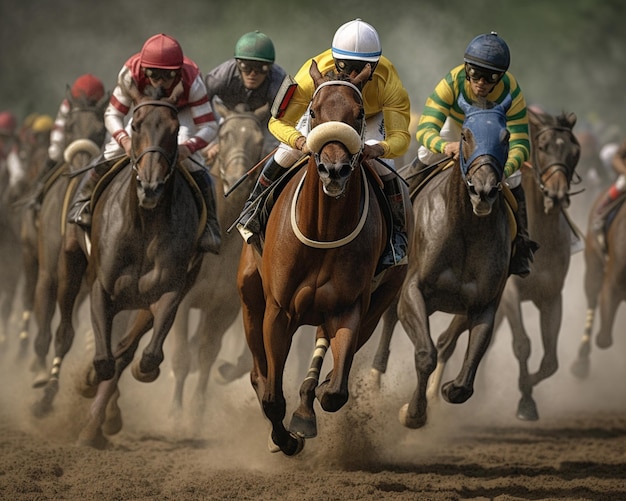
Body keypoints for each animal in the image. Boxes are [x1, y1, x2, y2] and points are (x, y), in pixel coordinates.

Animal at [75, 84, 202, 448]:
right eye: (135, 125)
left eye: (175, 129)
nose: (150, 187)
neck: (144, 225)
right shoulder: (100, 288)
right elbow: (103, 359)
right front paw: (87, 379)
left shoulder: (169, 292)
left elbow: (143, 355)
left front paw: (141, 371)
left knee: (127, 349)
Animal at [236, 60, 408, 456]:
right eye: (313, 111)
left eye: (358, 114)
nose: (334, 169)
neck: (323, 231)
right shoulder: (278, 311)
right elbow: (272, 397)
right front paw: (285, 441)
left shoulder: (348, 309)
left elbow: (335, 392)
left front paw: (306, 412)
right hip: (250, 298)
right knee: (258, 372)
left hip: (379, 301)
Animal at [492, 108, 580, 418]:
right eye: (543, 147)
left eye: (575, 151)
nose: (556, 195)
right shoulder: (510, 294)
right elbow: (522, 344)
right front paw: (526, 402)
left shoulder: (552, 296)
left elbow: (551, 361)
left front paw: (526, 387)